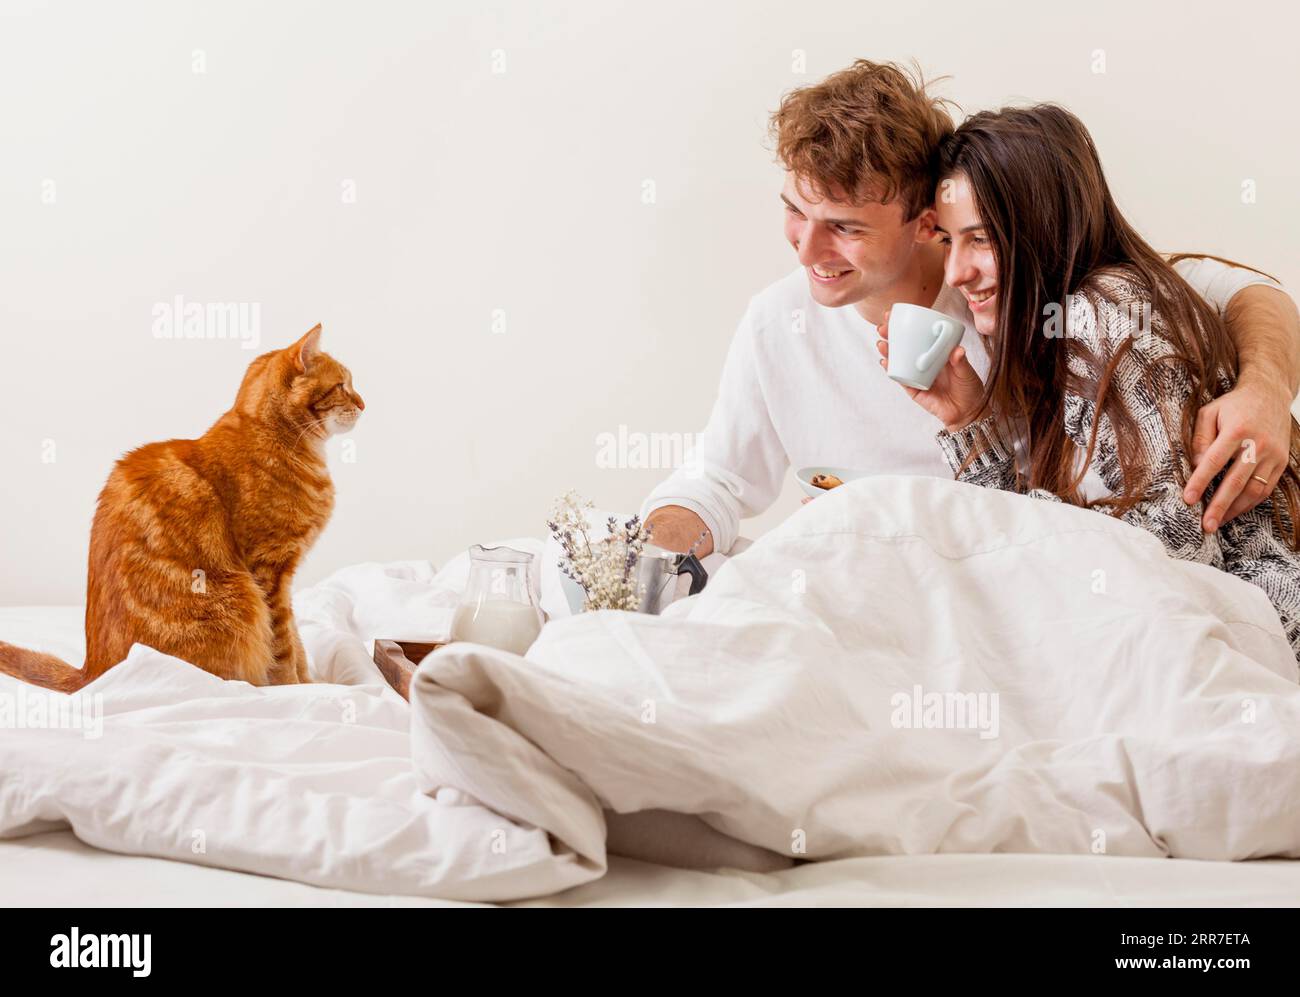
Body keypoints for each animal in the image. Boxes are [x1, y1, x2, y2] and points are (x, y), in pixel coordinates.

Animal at [0, 327, 364, 696]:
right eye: (342, 385)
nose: (363, 403)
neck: (280, 440)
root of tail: (92, 674)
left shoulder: (283, 579)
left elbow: (297, 641)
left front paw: (313, 681)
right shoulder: (269, 571)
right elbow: (283, 645)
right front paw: (295, 688)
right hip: (240, 599)